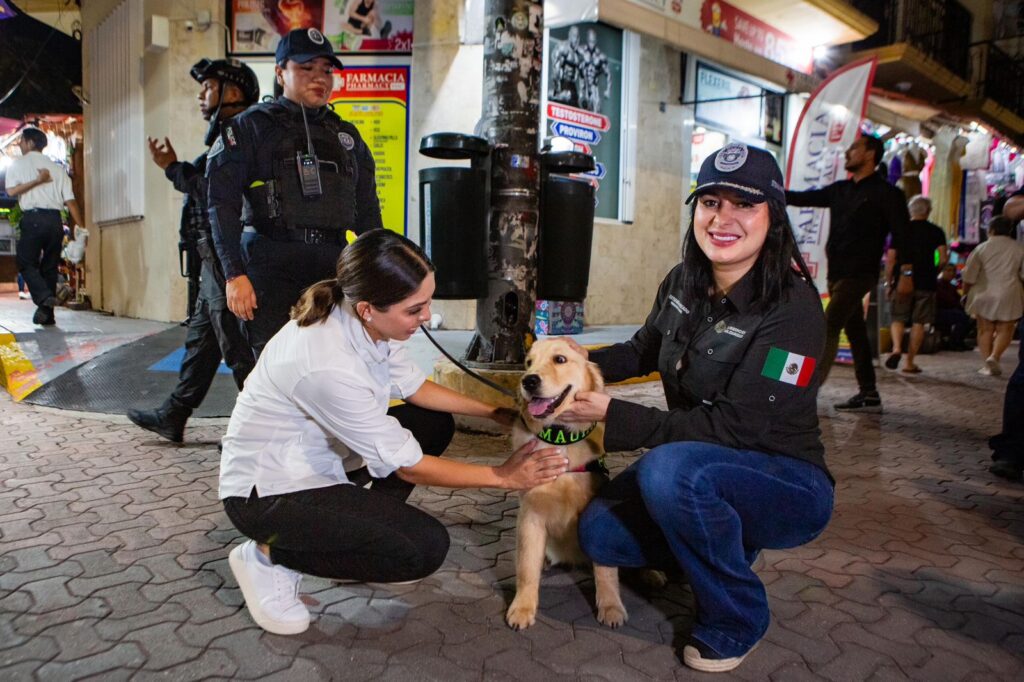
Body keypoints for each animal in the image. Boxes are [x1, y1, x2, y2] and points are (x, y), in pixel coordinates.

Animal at [503, 337, 622, 630]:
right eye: (528, 362)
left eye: (560, 359)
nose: (528, 381)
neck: (560, 438)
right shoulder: (530, 515)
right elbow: (526, 568)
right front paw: (522, 608)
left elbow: (606, 570)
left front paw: (611, 607)